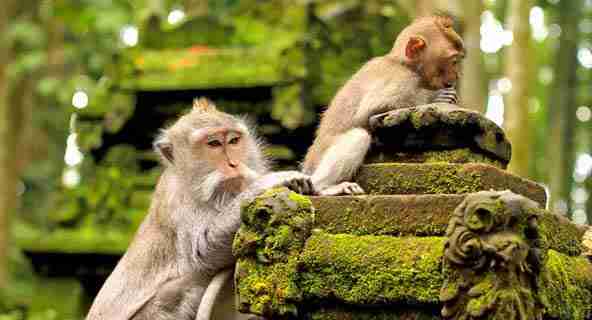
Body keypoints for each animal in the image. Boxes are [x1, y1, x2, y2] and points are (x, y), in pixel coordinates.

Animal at [86, 98, 314, 320]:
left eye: (233, 141)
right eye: (214, 144)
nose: (234, 164)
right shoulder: (178, 202)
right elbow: (202, 251)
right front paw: (269, 182)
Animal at [302, 15, 464, 196]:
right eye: (454, 61)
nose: (457, 75)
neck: (402, 63)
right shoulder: (401, 78)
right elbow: (371, 107)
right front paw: (434, 97)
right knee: (359, 135)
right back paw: (323, 188)